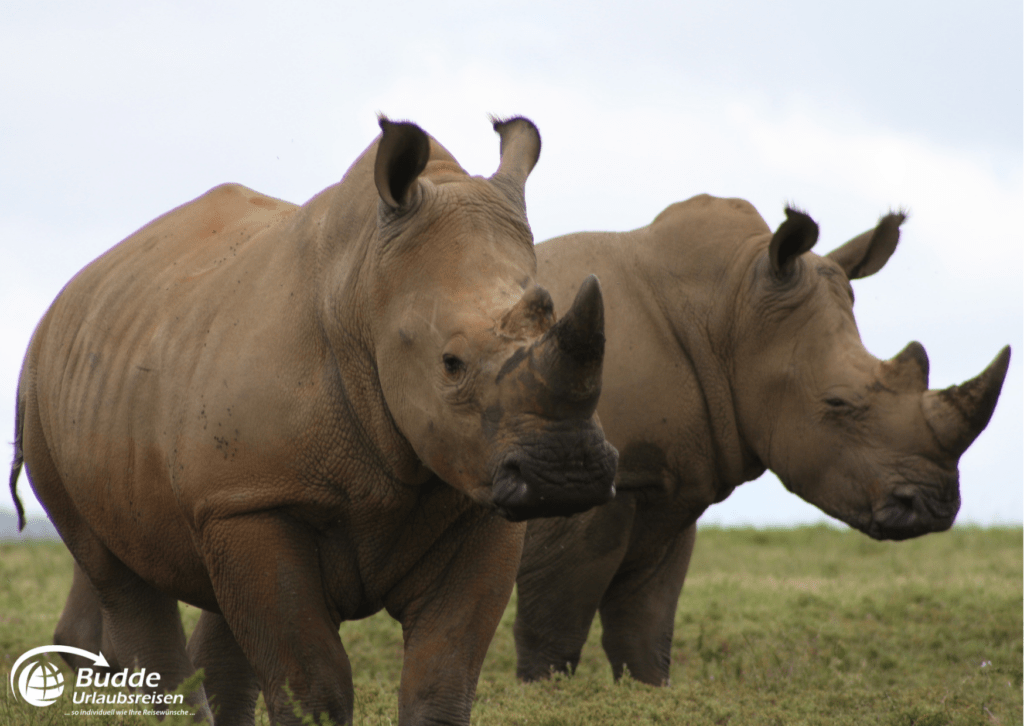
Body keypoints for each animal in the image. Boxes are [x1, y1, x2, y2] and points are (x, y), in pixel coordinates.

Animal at [9, 116, 614, 720]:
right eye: (451, 364)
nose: (567, 472)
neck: (366, 290)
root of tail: (62, 303)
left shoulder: (476, 494)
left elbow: (442, 676)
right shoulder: (256, 499)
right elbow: (313, 682)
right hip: (45, 398)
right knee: (120, 582)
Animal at [516, 192, 1011, 684]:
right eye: (837, 403)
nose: (936, 507)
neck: (732, 310)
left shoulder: (667, 483)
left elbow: (645, 632)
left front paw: (644, 692)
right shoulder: (584, 486)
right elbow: (553, 632)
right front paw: (546, 694)